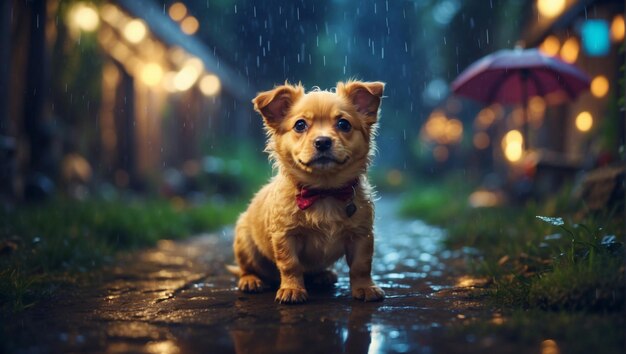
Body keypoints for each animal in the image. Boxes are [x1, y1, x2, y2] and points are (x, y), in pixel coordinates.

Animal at [232, 80, 382, 304]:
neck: (324, 191)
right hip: (245, 244)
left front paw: (365, 288)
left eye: (344, 124)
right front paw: (292, 289)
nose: (322, 141)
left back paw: (323, 275)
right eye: (300, 125)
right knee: (246, 267)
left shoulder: (361, 235)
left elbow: (361, 266)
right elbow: (290, 265)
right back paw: (251, 280)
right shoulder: (285, 236)